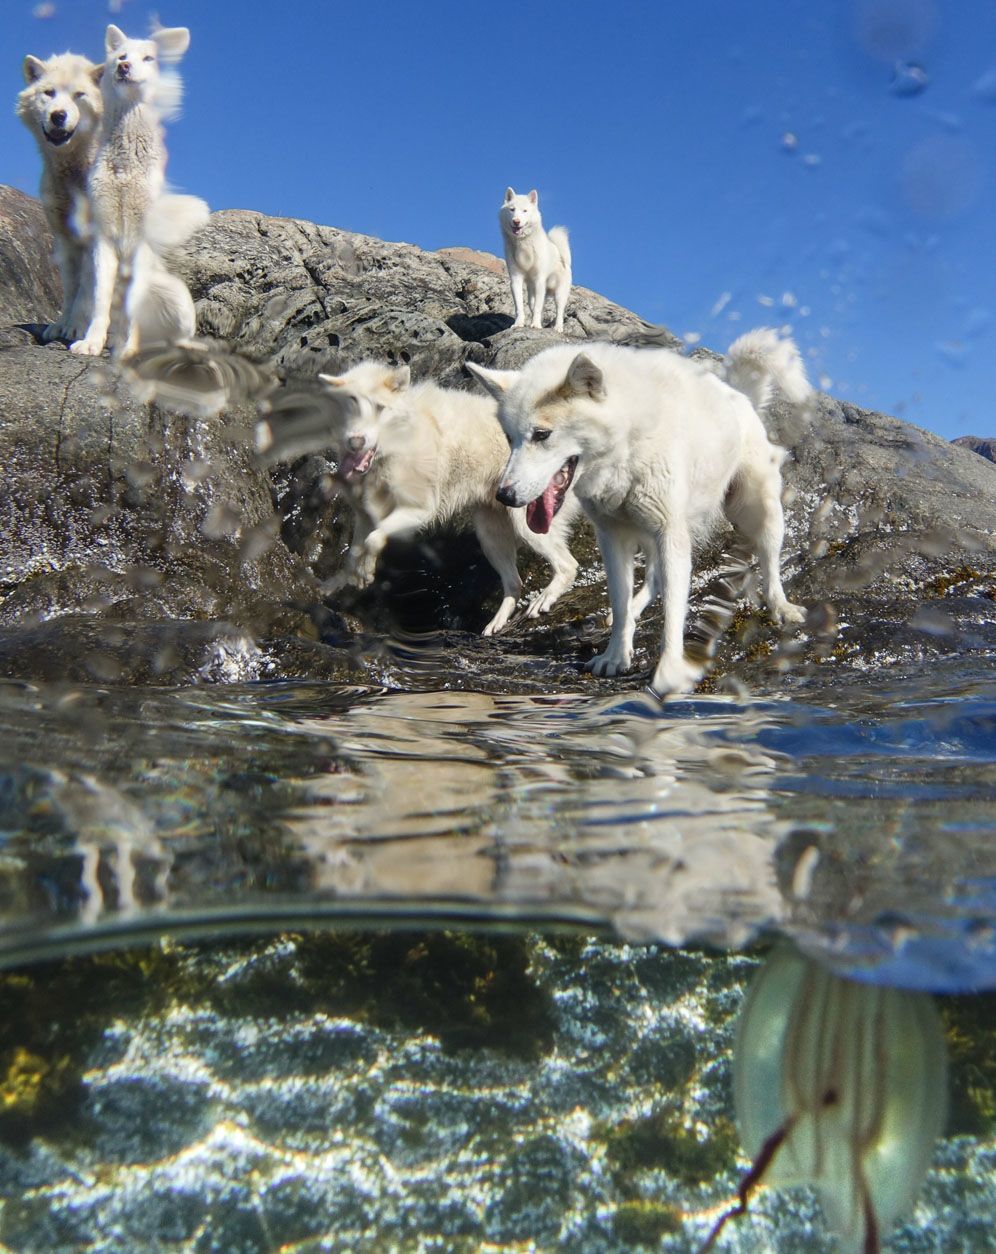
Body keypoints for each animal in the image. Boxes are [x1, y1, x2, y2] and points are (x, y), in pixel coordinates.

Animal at [16, 52, 105, 343]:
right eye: (49, 93)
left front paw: (76, 328)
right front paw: (61, 325)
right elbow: (70, 288)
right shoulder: (64, 238)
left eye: (79, 95)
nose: (58, 116)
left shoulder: (92, 238)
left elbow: (86, 289)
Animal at [70, 24, 207, 358]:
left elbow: (130, 310)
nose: (123, 67)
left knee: (180, 337)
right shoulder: (103, 237)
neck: (126, 164)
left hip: (176, 296)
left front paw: (125, 351)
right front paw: (92, 343)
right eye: (121, 56)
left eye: (147, 58)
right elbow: (101, 304)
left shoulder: (141, 240)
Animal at [318, 362, 581, 635]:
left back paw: (544, 599)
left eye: (379, 408)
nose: (356, 441)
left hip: (527, 526)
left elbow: (374, 539)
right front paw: (334, 584)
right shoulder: (364, 517)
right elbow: (352, 554)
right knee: (514, 584)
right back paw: (495, 625)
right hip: (490, 536)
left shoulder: (418, 511)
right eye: (351, 407)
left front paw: (365, 573)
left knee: (567, 565)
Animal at [467, 330, 810, 694]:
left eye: (542, 434)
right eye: (510, 438)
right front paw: (615, 656)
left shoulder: (669, 534)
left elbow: (673, 611)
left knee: (769, 561)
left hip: (756, 511)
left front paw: (669, 670)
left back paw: (782, 607)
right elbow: (620, 601)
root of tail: (740, 394)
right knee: (652, 581)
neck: (626, 444)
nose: (503, 496)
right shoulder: (613, 540)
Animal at [499, 188, 572, 333]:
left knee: (559, 311)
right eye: (512, 209)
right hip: (532, 292)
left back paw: (558, 328)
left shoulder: (539, 280)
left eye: (525, 211)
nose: (516, 221)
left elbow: (538, 308)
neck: (523, 244)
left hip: (559, 294)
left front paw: (536, 325)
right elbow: (519, 307)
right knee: (533, 306)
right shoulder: (515, 279)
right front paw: (519, 324)